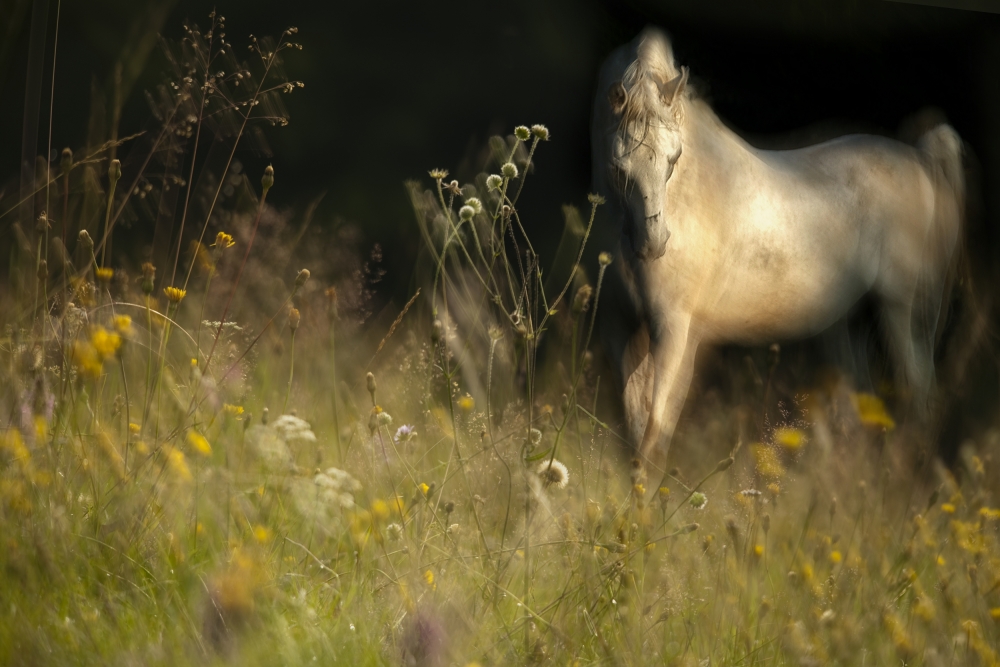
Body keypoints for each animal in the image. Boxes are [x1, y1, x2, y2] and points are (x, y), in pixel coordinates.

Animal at [588, 28, 964, 468]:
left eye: (673, 157)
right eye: (619, 167)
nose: (654, 242)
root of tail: (921, 161)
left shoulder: (675, 332)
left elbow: (654, 437)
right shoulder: (619, 330)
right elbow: (635, 431)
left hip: (902, 309)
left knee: (920, 393)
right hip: (849, 324)